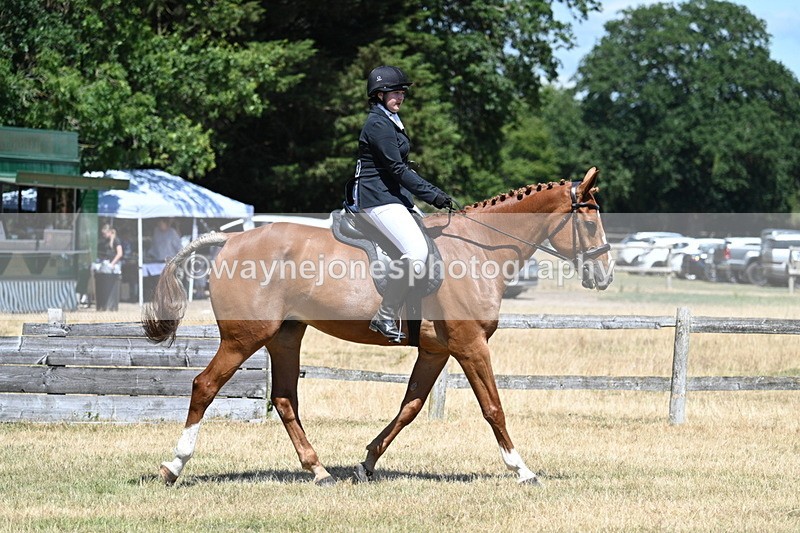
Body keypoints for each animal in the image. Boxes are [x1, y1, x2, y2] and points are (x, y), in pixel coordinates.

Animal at [143, 167, 613, 486]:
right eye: (590, 223)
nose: (604, 276)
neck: (479, 251)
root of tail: (233, 239)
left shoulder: (436, 350)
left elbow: (411, 406)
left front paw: (366, 463)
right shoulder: (470, 344)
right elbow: (493, 407)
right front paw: (522, 470)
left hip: (285, 336)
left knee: (284, 398)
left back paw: (319, 471)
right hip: (244, 337)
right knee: (205, 386)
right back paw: (173, 466)